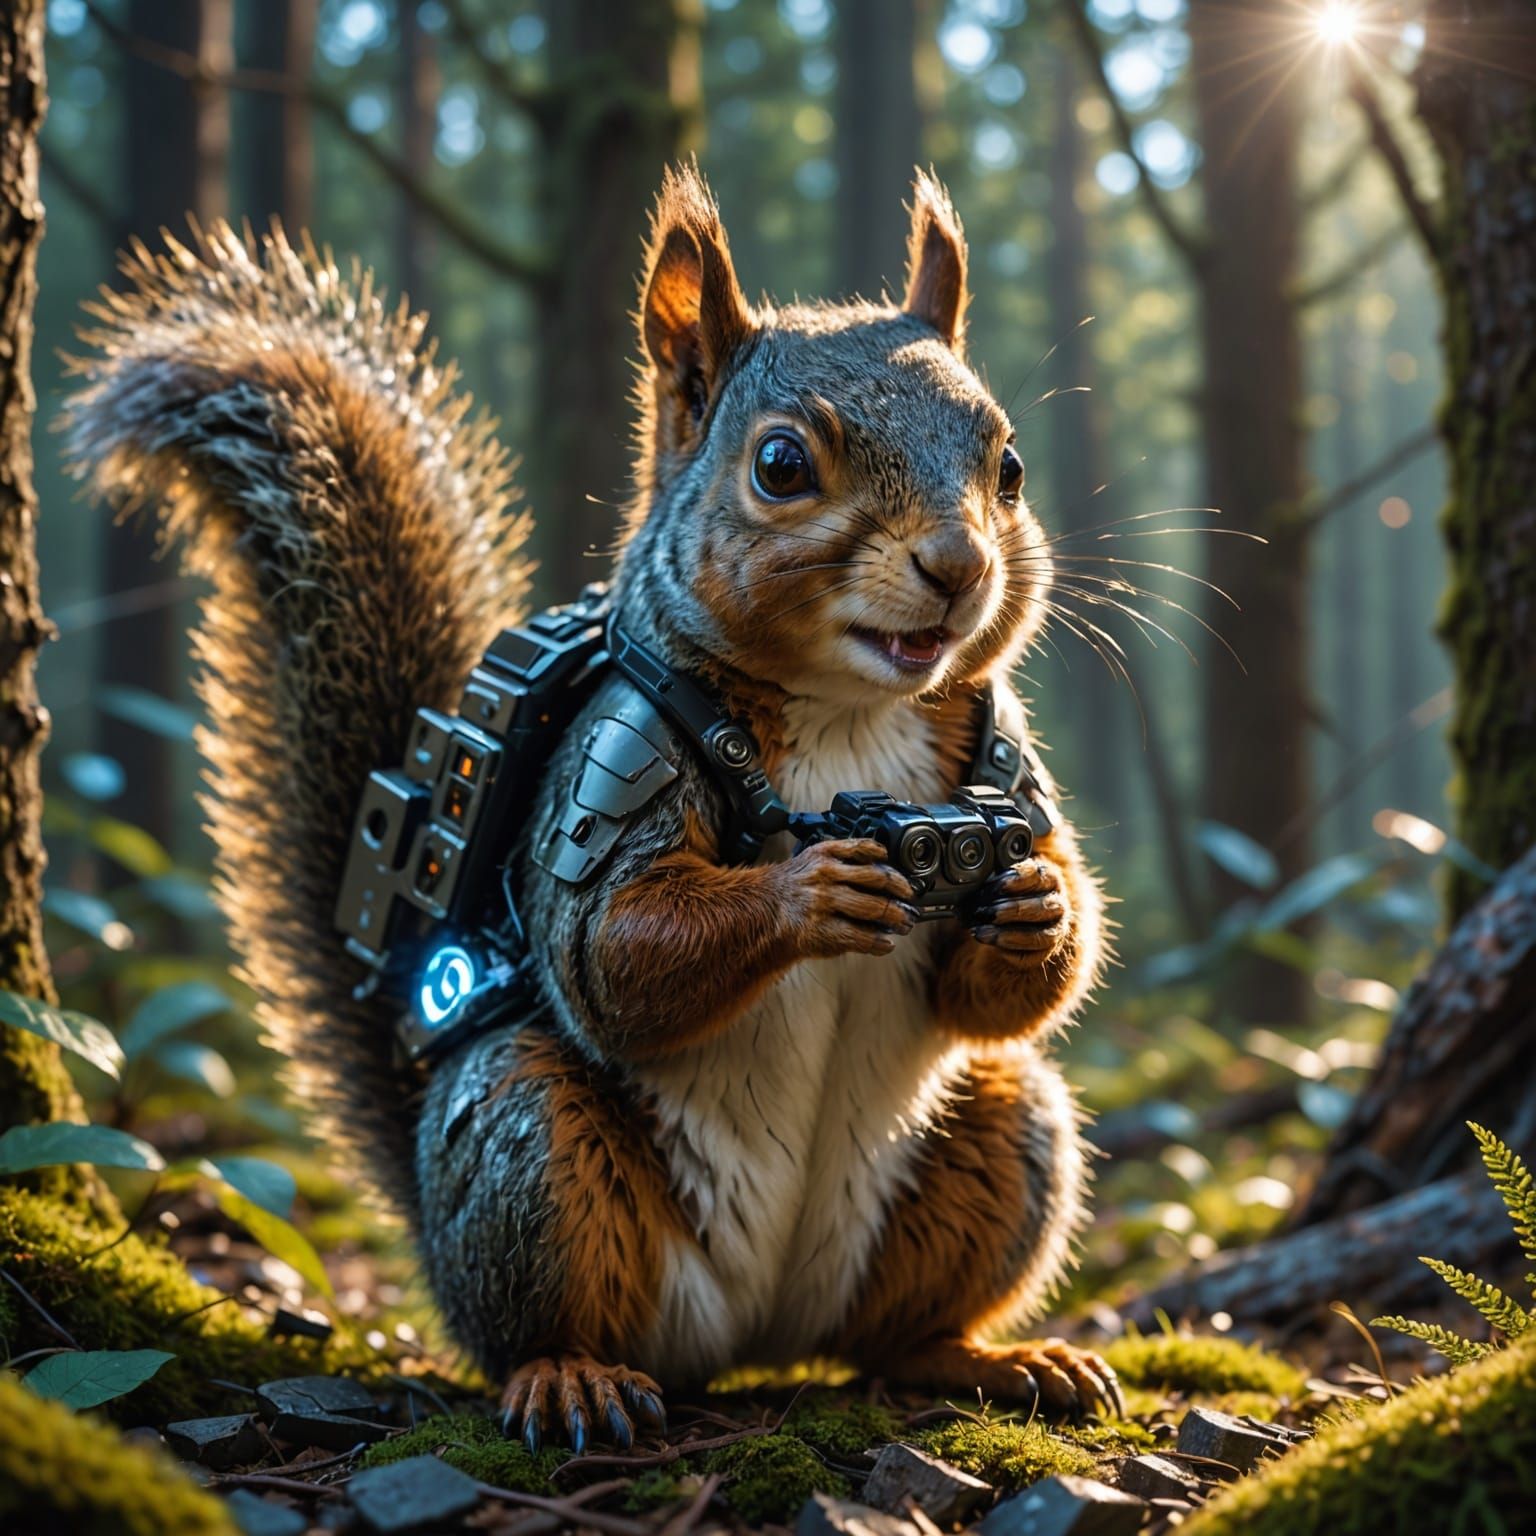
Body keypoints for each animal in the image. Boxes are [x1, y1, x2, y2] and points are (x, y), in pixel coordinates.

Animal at [66, 163, 1117, 1451]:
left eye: (1007, 466)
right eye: (780, 466)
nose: (960, 567)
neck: (848, 715)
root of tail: (761, 1339)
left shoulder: (1003, 765)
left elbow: (1006, 987)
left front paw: (1034, 904)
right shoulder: (612, 756)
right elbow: (611, 950)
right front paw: (813, 890)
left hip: (1003, 1131)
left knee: (900, 1326)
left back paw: (993, 1357)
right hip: (535, 1154)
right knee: (544, 1310)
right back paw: (569, 1377)